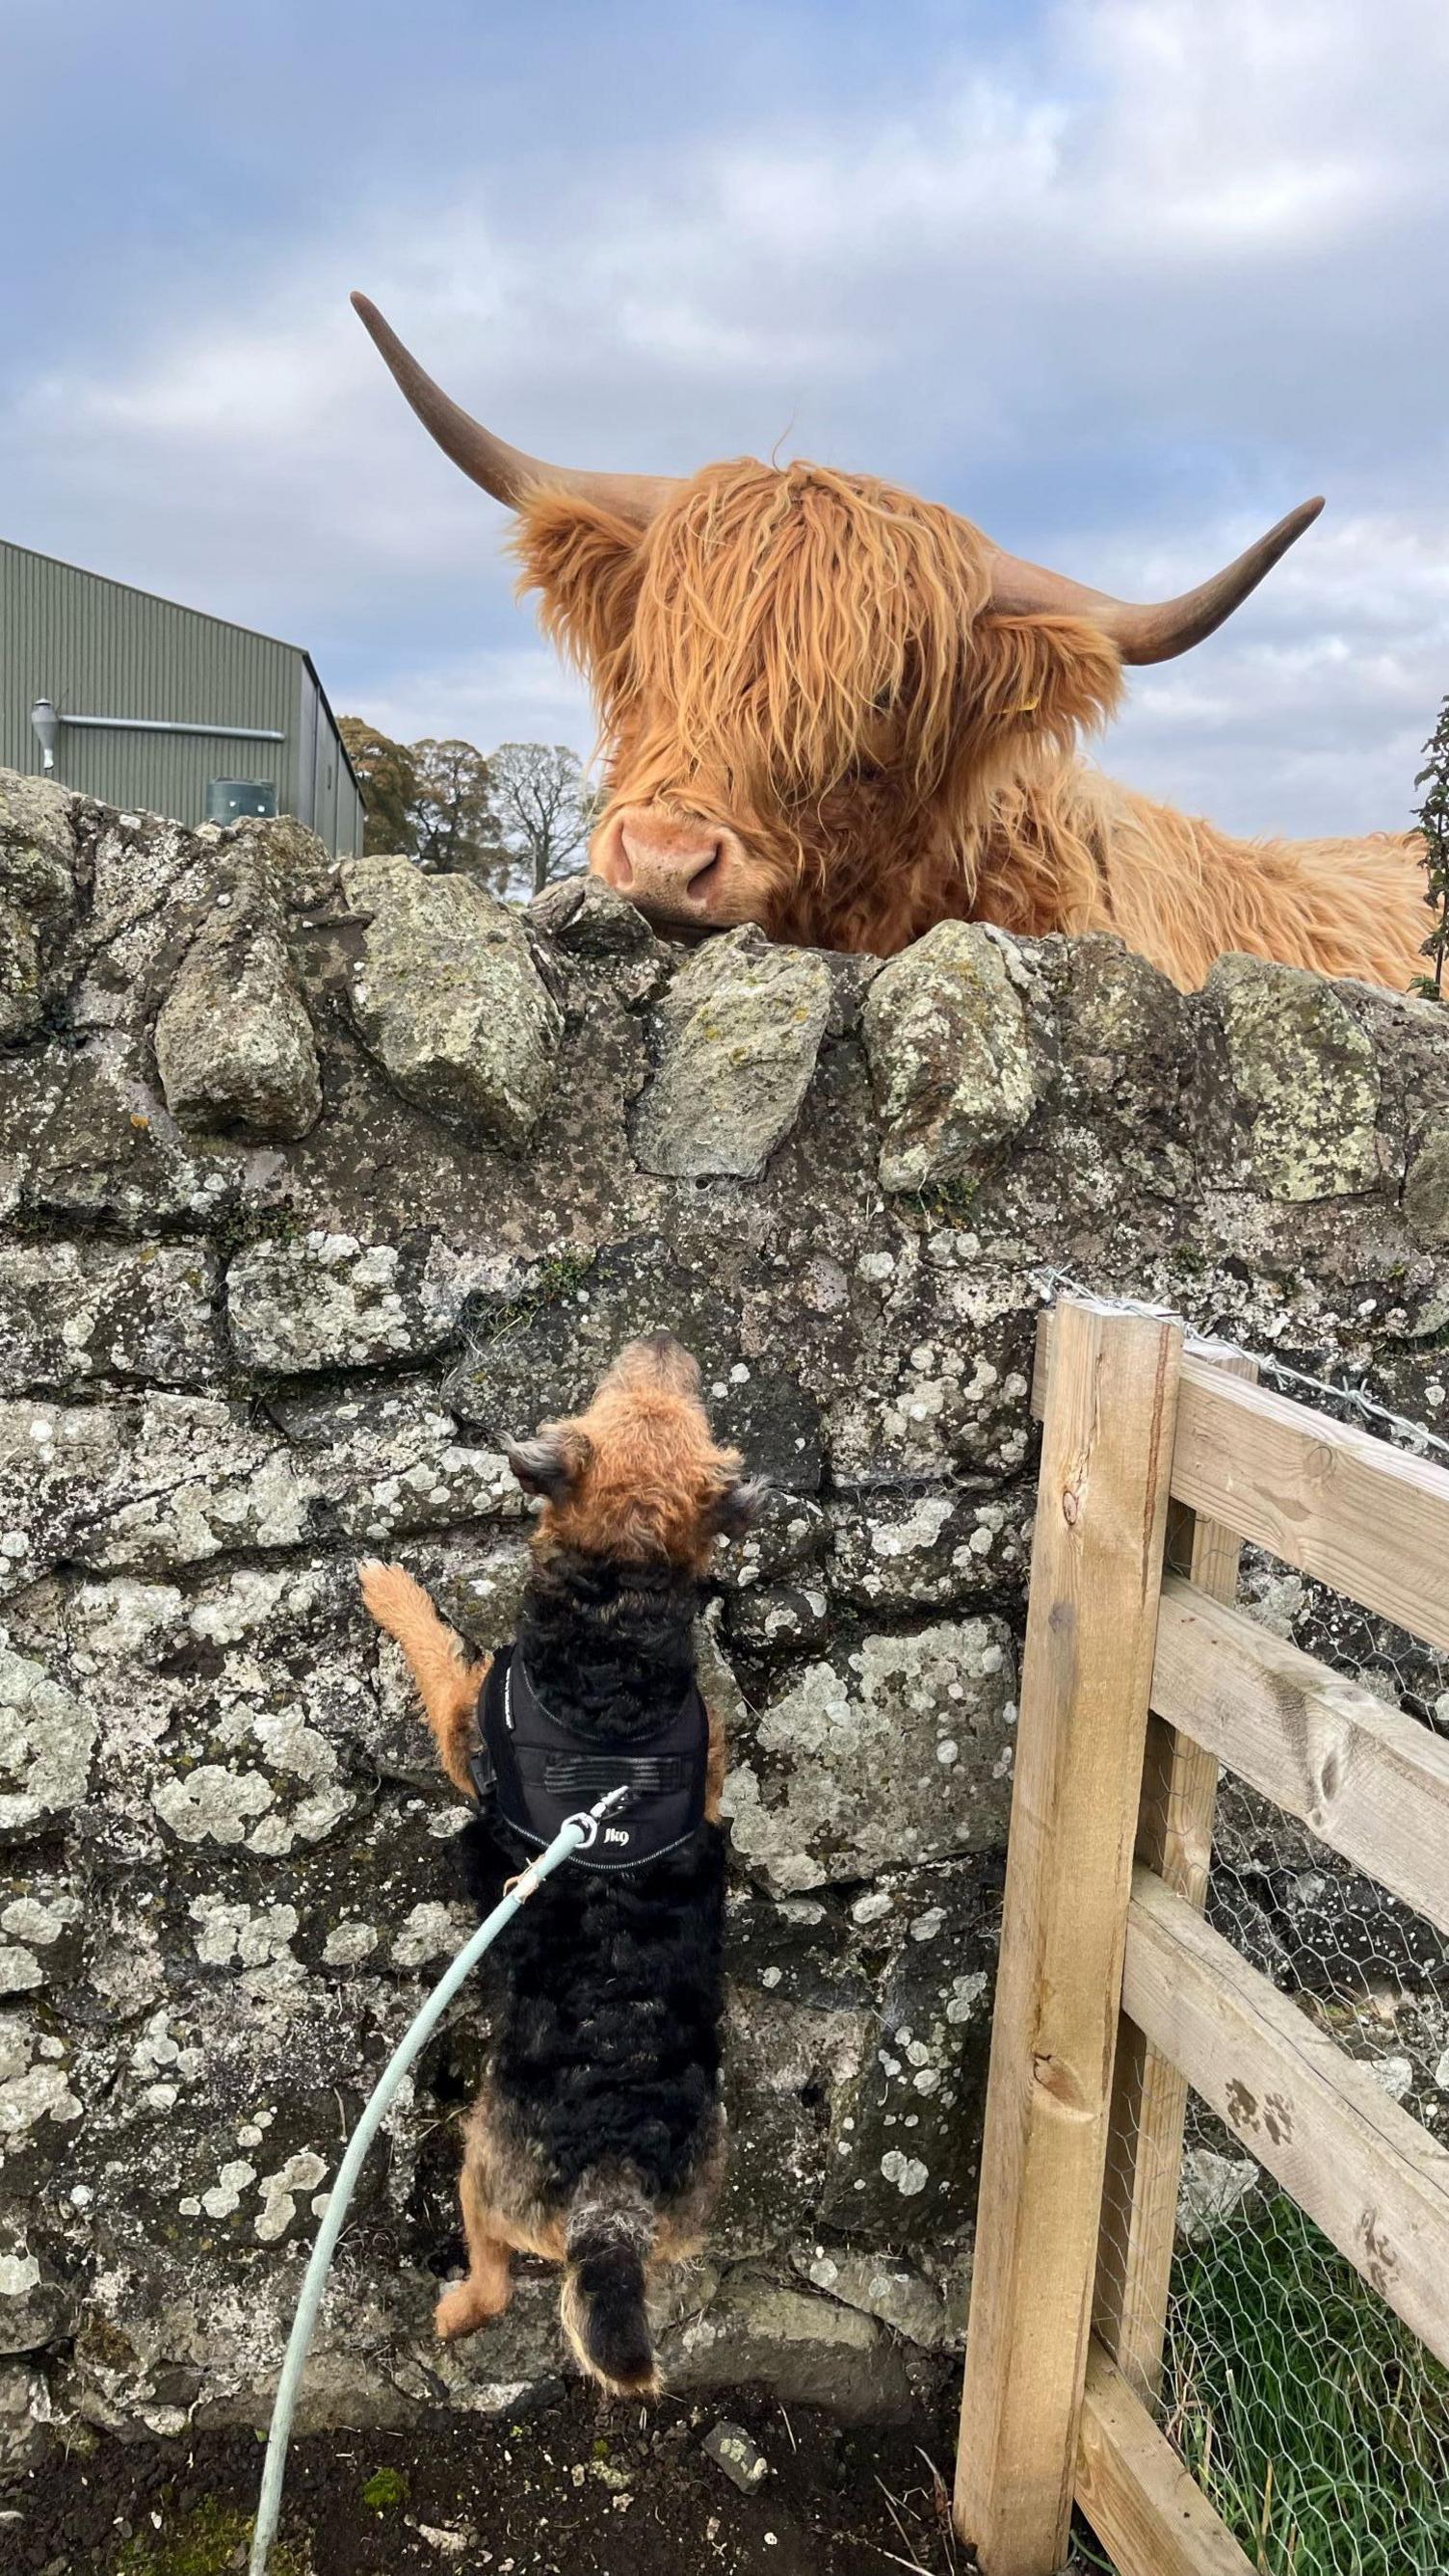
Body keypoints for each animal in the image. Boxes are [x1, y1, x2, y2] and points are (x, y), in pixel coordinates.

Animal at [357, 1339, 757, 2401]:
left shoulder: (468, 1718)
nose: (664, 1341)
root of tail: (612, 2171)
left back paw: (454, 2310)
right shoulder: (710, 1763)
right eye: (664, 1402)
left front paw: (389, 1588)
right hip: (684, 2212)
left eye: (615, 1396)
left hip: (481, 2165)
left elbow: (437, 1653)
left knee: (497, 2277)